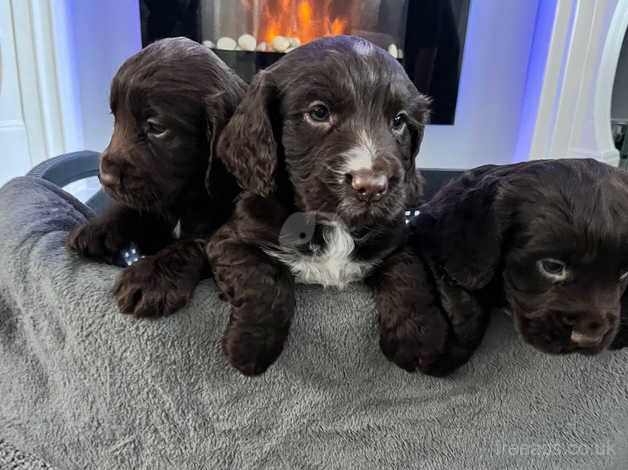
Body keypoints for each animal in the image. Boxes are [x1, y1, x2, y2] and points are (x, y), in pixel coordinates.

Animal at [67, 36, 244, 316]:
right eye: (116, 118)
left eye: (156, 128)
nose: (104, 177)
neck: (187, 198)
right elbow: (134, 209)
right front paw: (98, 227)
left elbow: (197, 243)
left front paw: (150, 278)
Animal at [206, 35, 446, 376]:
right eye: (319, 113)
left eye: (399, 120)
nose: (371, 187)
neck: (334, 224)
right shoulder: (230, 237)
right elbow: (263, 277)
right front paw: (251, 343)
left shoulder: (398, 236)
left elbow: (408, 273)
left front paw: (419, 338)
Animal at [408, 158, 628, 374]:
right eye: (552, 266)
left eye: (625, 273)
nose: (589, 338)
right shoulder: (436, 239)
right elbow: (458, 294)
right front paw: (440, 351)